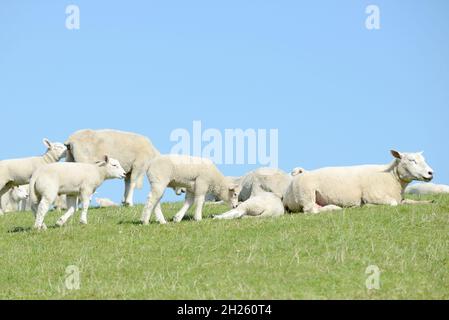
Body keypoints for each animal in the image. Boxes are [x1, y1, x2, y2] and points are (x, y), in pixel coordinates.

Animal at [284, 149, 434, 214]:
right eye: (411, 160)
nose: (431, 173)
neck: (391, 177)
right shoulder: (373, 195)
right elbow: (393, 203)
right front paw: (367, 206)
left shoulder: (401, 198)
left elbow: (411, 201)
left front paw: (429, 202)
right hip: (306, 194)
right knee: (311, 210)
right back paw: (334, 208)